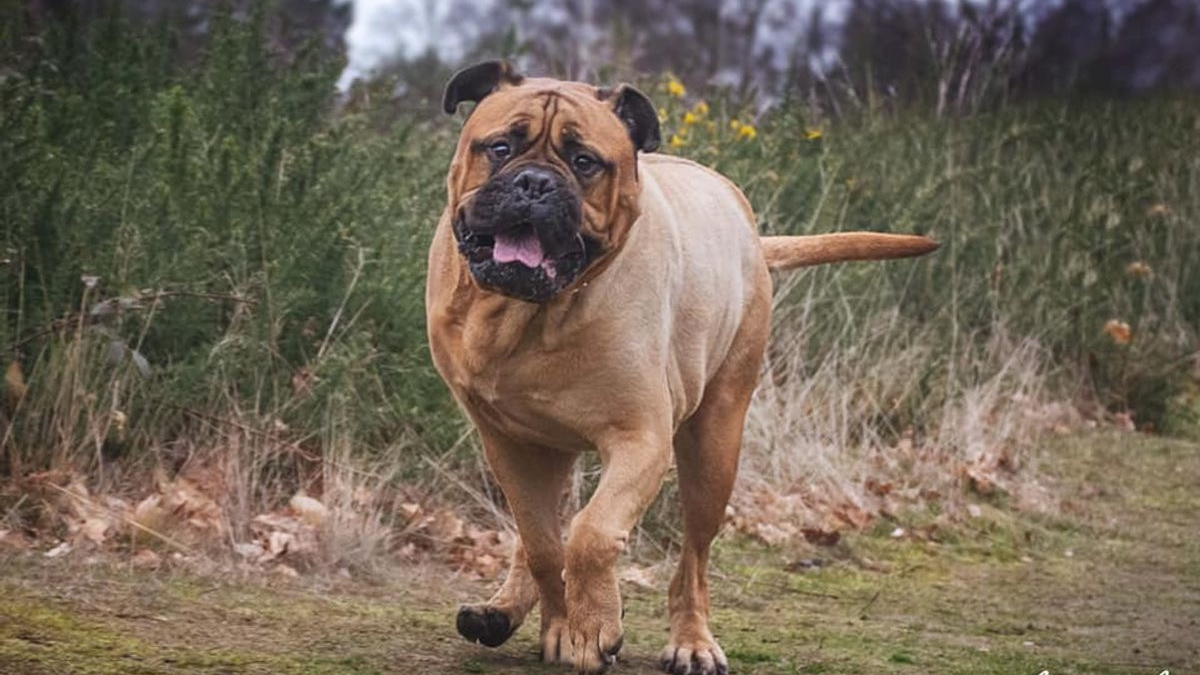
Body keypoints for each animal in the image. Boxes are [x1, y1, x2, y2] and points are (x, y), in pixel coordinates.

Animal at [422, 60, 936, 667]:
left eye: (584, 161)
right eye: (500, 146)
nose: (535, 183)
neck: (534, 313)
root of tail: (748, 227)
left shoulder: (642, 438)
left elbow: (592, 534)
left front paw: (593, 626)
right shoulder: (509, 444)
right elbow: (545, 542)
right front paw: (561, 623)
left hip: (714, 447)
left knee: (693, 562)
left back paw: (692, 642)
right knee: (541, 534)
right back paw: (500, 611)